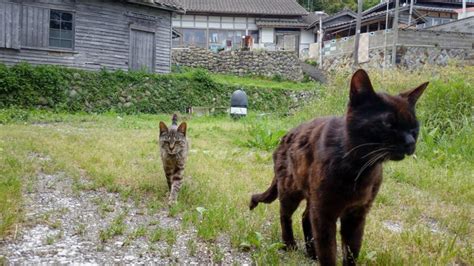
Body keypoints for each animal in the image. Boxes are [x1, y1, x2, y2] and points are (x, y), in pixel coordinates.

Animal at [250, 69, 428, 264]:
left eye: (414, 127)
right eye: (388, 124)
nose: (410, 142)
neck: (359, 170)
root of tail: (285, 136)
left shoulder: (357, 214)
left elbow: (352, 250)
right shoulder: (325, 212)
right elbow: (328, 251)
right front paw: (322, 256)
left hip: (312, 196)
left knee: (305, 217)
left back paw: (312, 253)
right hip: (291, 189)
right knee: (285, 214)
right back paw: (290, 245)